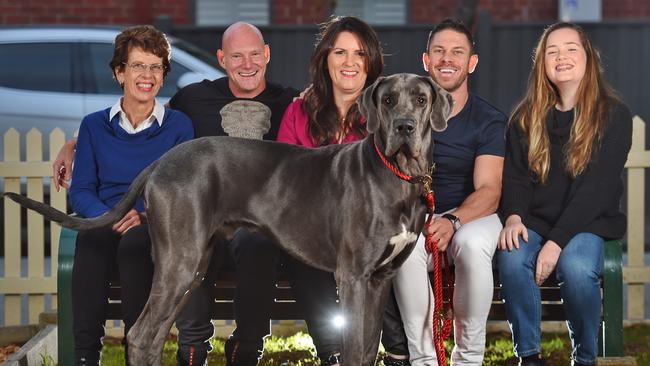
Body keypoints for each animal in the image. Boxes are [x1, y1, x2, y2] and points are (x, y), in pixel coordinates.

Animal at [3, 73, 450, 364]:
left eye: (421, 99)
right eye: (388, 100)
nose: (405, 127)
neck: (398, 176)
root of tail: (159, 162)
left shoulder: (380, 280)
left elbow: (369, 346)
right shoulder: (354, 276)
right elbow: (355, 348)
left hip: (193, 268)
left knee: (152, 335)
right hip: (181, 263)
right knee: (140, 333)